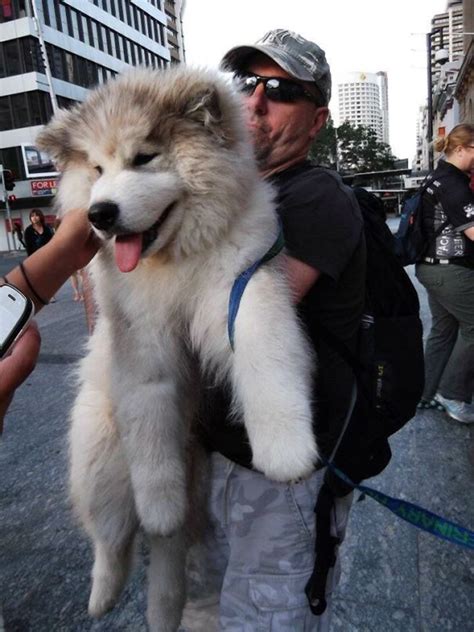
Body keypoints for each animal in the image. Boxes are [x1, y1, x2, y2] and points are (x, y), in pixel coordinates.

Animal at [36, 66, 318, 628]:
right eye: (96, 168)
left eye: (145, 158)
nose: (100, 214)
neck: (177, 259)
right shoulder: (140, 341)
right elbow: (150, 429)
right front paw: (157, 502)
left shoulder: (245, 288)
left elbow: (268, 363)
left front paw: (287, 452)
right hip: (101, 455)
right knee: (113, 534)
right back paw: (104, 593)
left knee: (167, 551)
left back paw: (161, 600)